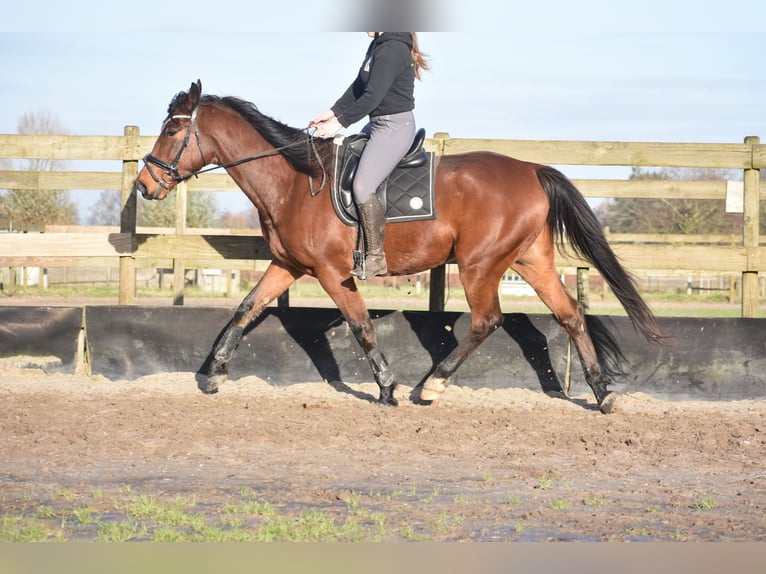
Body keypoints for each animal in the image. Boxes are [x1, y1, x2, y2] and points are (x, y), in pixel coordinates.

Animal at [135, 80, 664, 414]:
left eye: (173, 130)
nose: (143, 185)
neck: (294, 182)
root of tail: (532, 169)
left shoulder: (331, 273)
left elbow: (361, 327)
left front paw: (388, 388)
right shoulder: (287, 265)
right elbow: (246, 309)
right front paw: (213, 374)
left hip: (480, 265)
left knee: (487, 320)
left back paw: (430, 388)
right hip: (531, 260)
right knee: (569, 314)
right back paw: (602, 394)